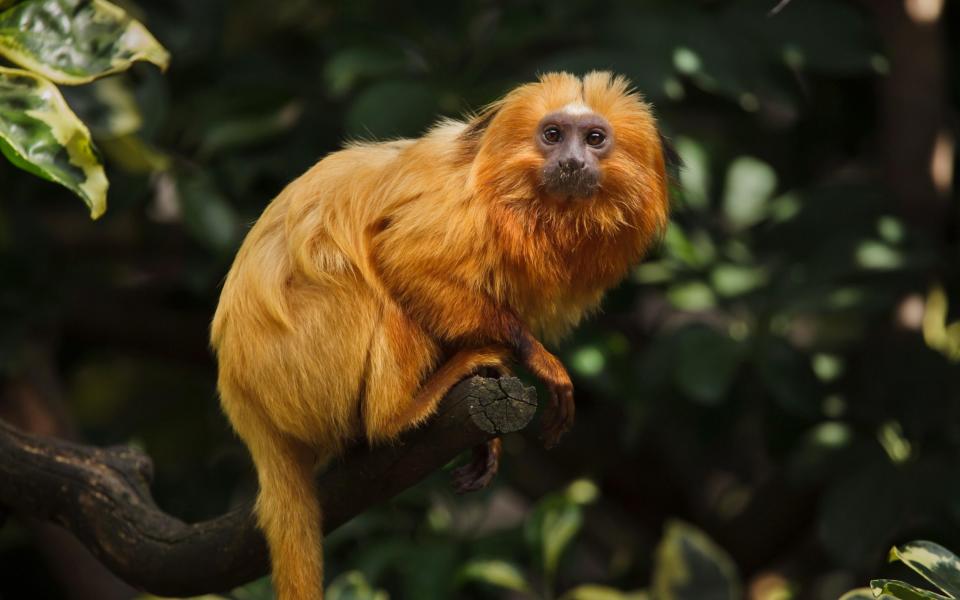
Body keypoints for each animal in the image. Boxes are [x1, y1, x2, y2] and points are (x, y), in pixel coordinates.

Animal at [214, 71, 672, 600]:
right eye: (553, 135)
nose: (572, 161)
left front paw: (485, 440)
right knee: (369, 283)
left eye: (595, 138)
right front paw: (537, 358)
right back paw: (402, 410)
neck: (526, 207)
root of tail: (245, 403)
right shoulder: (457, 208)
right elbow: (403, 257)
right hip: (297, 362)